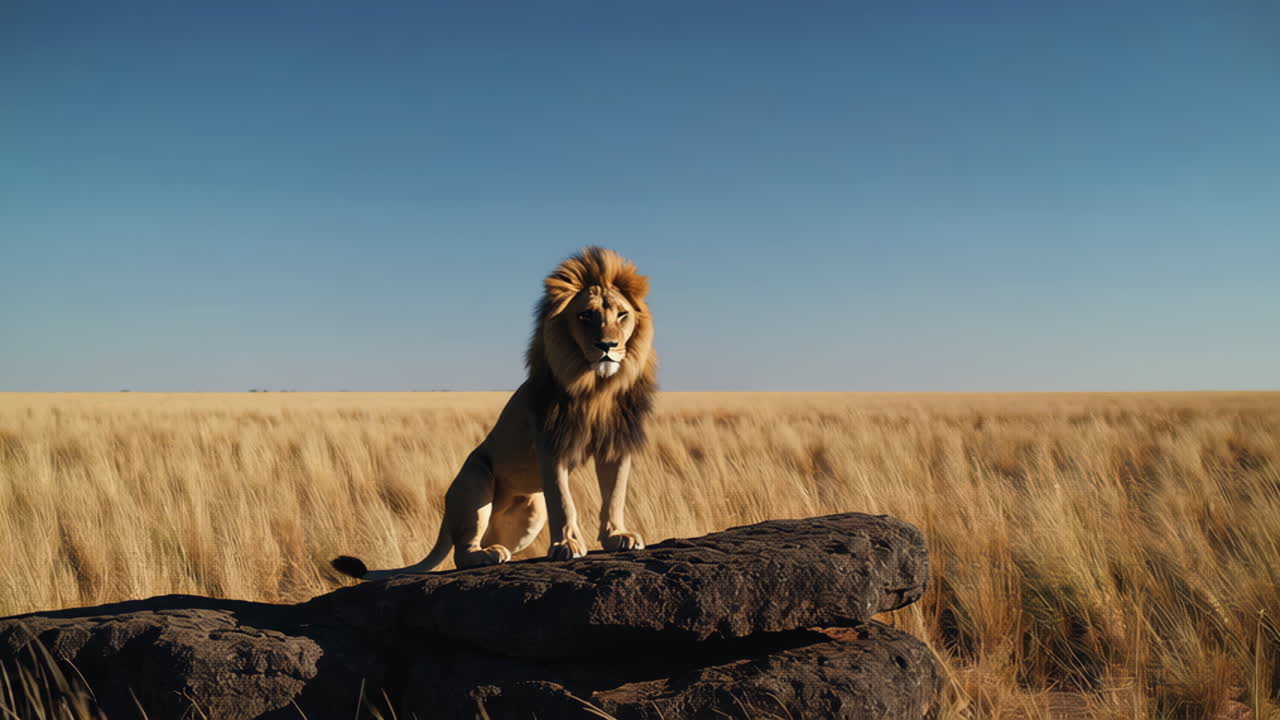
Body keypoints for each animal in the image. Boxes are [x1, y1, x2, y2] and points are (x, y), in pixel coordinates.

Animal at [332, 247, 656, 580]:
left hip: (531, 512)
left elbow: (615, 495)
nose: (608, 345)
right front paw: (566, 543)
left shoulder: (616, 444)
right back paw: (484, 556)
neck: (595, 386)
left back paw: (497, 553)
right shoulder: (550, 443)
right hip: (475, 480)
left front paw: (617, 536)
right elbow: (563, 500)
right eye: (586, 315)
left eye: (622, 315)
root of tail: (446, 517)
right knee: (462, 552)